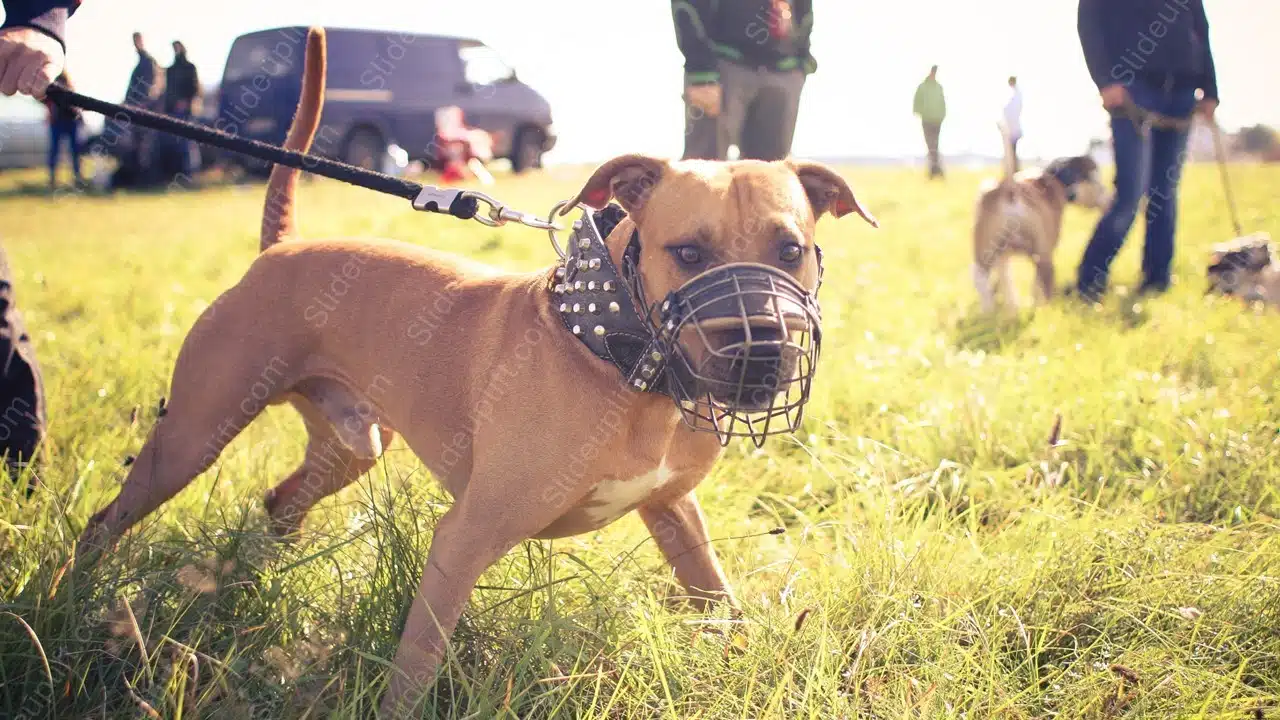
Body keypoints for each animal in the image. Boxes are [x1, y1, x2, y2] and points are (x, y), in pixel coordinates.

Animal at [74, 26, 880, 712]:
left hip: (351, 444)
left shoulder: (675, 514)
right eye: (688, 252)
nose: (763, 352)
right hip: (193, 435)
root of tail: (283, 248)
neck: (615, 349)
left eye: (790, 249)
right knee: (102, 524)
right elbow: (415, 668)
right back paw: (72, 603)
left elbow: (720, 602)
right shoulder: (463, 537)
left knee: (279, 503)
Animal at [967, 139, 1111, 310]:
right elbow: (1035, 286)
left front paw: (1012, 308)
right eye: (1095, 179)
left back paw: (989, 311)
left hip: (985, 249)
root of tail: (1010, 189)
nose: (1110, 199)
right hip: (1043, 254)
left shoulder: (1003, 256)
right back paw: (1044, 310)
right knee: (1043, 283)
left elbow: (1006, 280)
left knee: (980, 278)